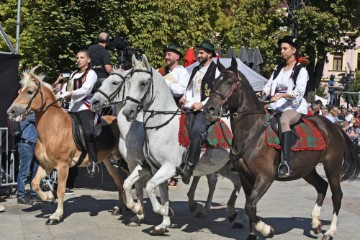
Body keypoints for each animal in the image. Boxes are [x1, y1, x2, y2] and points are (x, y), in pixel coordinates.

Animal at [7, 69, 125, 225]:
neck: (54, 128)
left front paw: (56, 215)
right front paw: (48, 196)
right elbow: (34, 182)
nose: (11, 111)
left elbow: (61, 189)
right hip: (109, 162)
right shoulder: (47, 165)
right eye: (19, 91)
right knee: (120, 181)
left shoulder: (62, 165)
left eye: (30, 91)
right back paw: (121, 208)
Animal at [121, 54, 242, 234]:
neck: (161, 126)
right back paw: (229, 213)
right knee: (233, 181)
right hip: (222, 166)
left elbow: (149, 187)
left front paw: (165, 211)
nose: (127, 112)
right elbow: (132, 185)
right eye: (128, 83)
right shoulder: (152, 167)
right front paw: (161, 222)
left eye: (143, 83)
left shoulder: (169, 168)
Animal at [202, 58, 360, 240]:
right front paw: (253, 233)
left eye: (230, 82)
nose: (209, 109)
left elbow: (250, 206)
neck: (252, 131)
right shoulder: (245, 177)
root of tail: (334, 126)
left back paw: (330, 231)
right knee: (321, 186)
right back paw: (315, 223)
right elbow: (250, 206)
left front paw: (266, 229)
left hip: (332, 166)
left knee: (337, 195)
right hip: (307, 169)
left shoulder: (265, 177)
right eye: (215, 82)